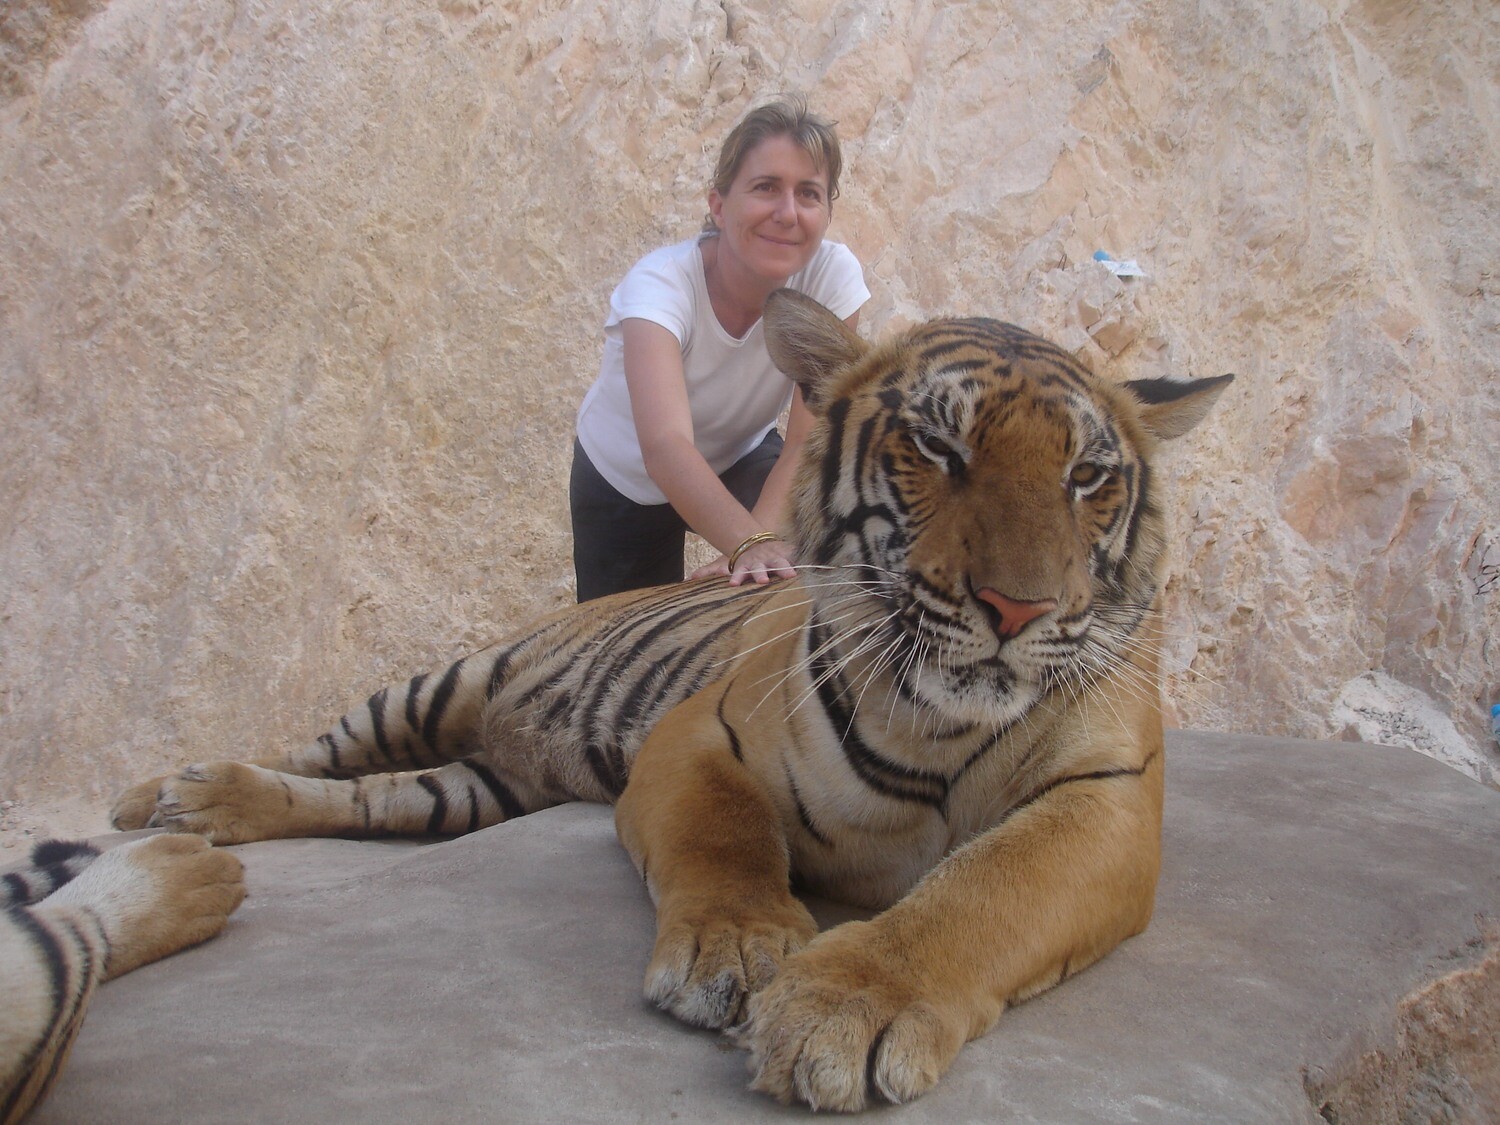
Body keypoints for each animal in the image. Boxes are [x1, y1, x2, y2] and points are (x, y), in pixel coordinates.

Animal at [111, 289, 1231, 1111]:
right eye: (937, 449)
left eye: (1087, 476)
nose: (1018, 607)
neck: (941, 718)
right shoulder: (702, 732)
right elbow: (721, 834)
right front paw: (737, 949)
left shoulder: (1105, 799)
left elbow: (981, 893)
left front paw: (840, 1007)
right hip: (439, 687)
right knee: (312, 750)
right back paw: (168, 795)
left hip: (468, 787)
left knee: (364, 798)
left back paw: (193, 809)